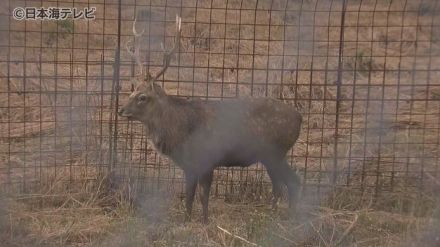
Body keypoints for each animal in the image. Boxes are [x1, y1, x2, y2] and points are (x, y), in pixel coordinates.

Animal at [117, 14, 302, 223]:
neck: (179, 130)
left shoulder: (206, 159)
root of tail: (300, 117)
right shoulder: (189, 165)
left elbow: (203, 195)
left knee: (292, 181)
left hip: (276, 152)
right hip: (269, 156)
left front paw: (204, 221)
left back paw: (291, 217)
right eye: (132, 91)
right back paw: (275, 214)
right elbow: (189, 195)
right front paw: (187, 219)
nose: (121, 110)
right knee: (280, 183)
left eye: (143, 97)